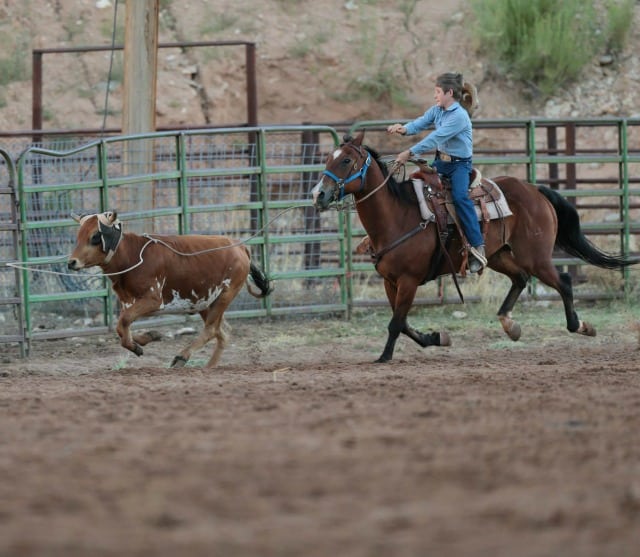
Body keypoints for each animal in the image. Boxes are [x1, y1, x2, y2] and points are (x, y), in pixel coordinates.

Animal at [67, 211, 270, 368]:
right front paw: (148, 337)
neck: (132, 256)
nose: (71, 262)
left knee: (212, 330)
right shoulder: (128, 302)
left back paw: (182, 357)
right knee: (223, 331)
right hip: (205, 301)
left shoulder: (153, 300)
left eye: (95, 236)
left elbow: (123, 322)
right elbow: (122, 326)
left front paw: (138, 345)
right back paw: (209, 366)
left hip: (225, 295)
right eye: (78, 235)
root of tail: (241, 247)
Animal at [312, 132, 636, 362]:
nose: (319, 194)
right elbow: (401, 323)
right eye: (328, 158)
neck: (398, 215)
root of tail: (535, 190)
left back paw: (581, 326)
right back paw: (510, 325)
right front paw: (437, 338)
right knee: (520, 279)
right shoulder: (390, 282)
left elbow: (395, 323)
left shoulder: (408, 280)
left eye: (345, 161)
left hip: (536, 257)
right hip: (498, 255)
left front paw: (384, 357)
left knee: (564, 282)